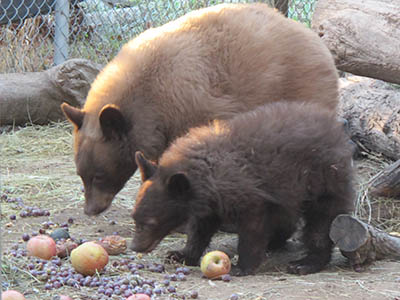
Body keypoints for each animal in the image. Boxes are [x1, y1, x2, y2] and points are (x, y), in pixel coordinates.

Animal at [61, 2, 338, 216]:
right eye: (80, 174)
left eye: (98, 175)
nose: (90, 210)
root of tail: (317, 40)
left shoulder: (193, 104)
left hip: (302, 89)